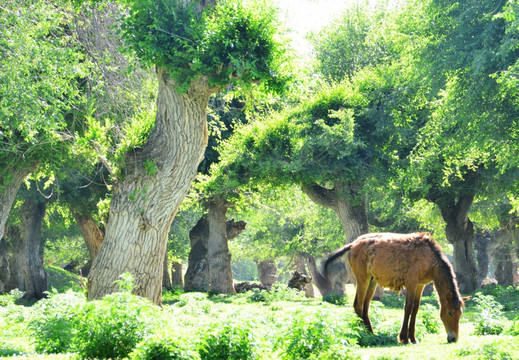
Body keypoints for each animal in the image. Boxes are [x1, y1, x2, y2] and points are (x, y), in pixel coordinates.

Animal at [322, 232, 470, 344]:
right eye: (450, 313)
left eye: (460, 313)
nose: (453, 338)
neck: (430, 259)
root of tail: (352, 245)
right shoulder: (411, 282)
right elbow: (408, 307)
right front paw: (404, 337)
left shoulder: (420, 285)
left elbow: (415, 309)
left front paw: (413, 337)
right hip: (363, 279)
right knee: (358, 305)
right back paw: (362, 334)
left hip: (372, 281)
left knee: (365, 305)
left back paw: (370, 333)